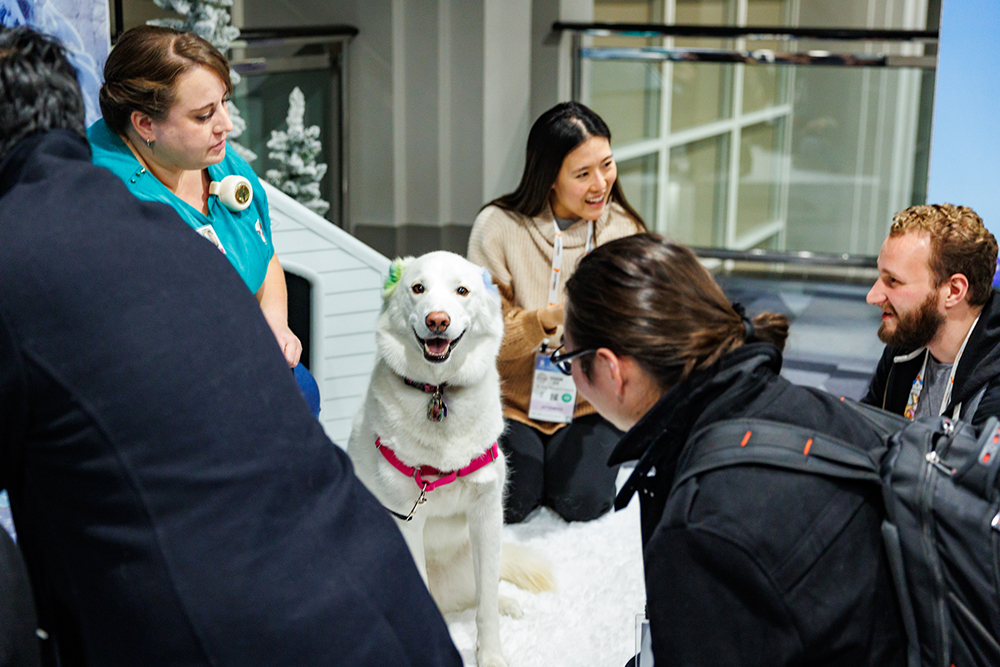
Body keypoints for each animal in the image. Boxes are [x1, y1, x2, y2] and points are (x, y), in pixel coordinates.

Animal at [350, 252, 556, 667]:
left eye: (462, 290)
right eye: (418, 288)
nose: (437, 320)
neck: (438, 390)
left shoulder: (487, 517)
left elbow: (485, 605)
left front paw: (491, 655)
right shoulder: (407, 521)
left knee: (481, 591)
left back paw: (508, 603)